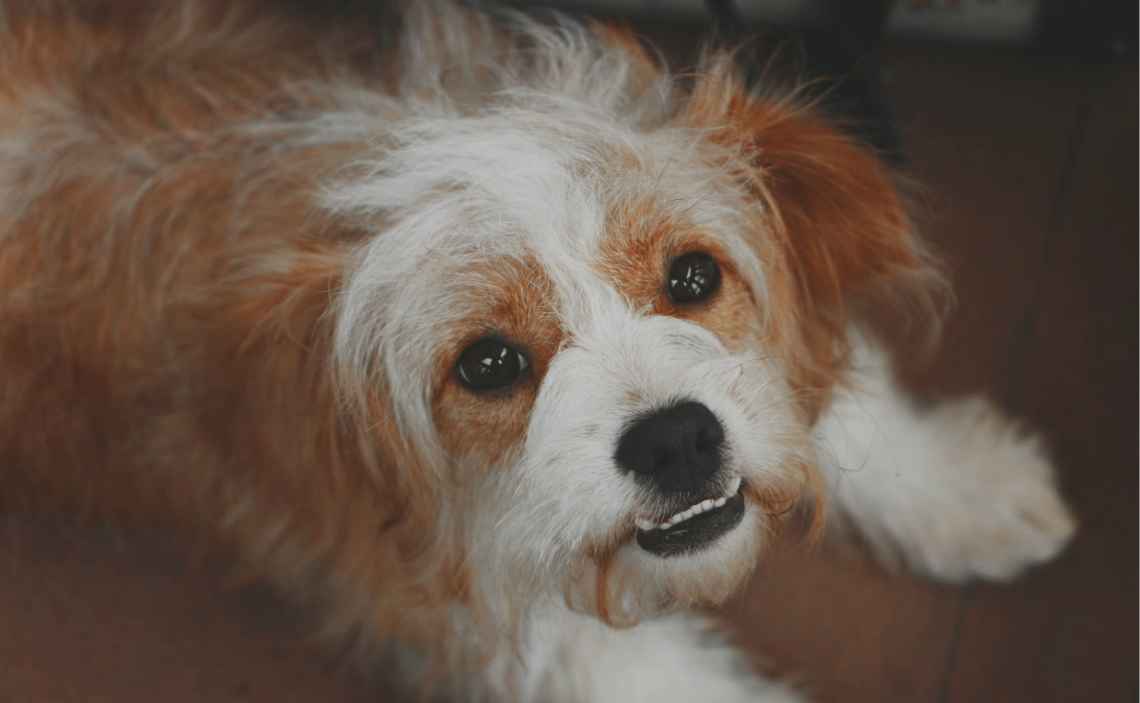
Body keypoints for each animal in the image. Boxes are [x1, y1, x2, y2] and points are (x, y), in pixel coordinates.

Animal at [0, 2, 1076, 697]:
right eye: (488, 362)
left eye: (693, 277)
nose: (677, 439)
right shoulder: (466, 599)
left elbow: (832, 382)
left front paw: (959, 484)